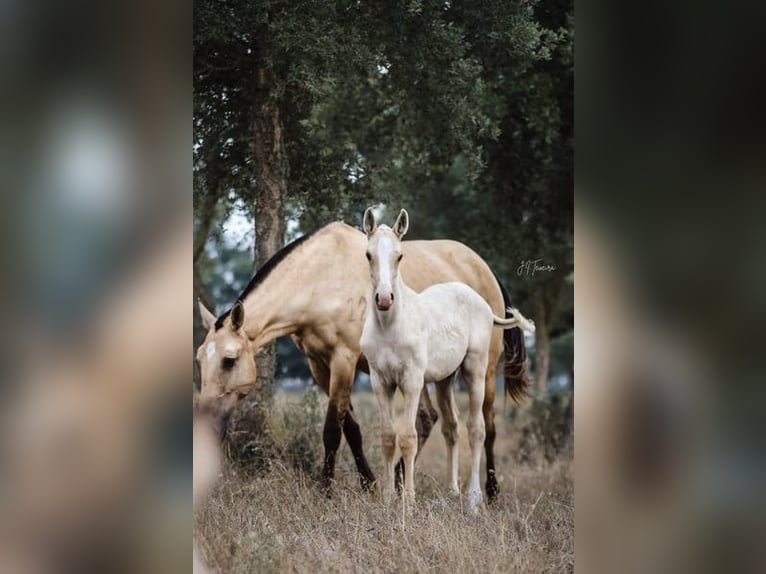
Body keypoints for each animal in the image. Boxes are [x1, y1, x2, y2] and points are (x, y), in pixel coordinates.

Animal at [195, 220, 532, 500]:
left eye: (229, 360)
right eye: (199, 361)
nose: (206, 427)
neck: (320, 278)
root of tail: (485, 270)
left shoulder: (343, 360)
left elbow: (333, 429)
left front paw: (326, 491)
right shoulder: (320, 365)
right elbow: (352, 429)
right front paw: (370, 484)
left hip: (484, 370)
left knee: (487, 425)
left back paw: (490, 492)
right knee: (430, 418)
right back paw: (400, 481)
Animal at [358, 209, 536, 516]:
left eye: (400, 255)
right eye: (369, 254)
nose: (383, 299)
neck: (390, 327)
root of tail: (483, 303)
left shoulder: (412, 381)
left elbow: (408, 437)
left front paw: (408, 503)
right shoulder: (380, 382)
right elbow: (388, 437)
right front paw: (388, 501)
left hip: (476, 371)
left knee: (476, 428)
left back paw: (474, 498)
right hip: (444, 379)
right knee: (452, 427)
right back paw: (452, 492)